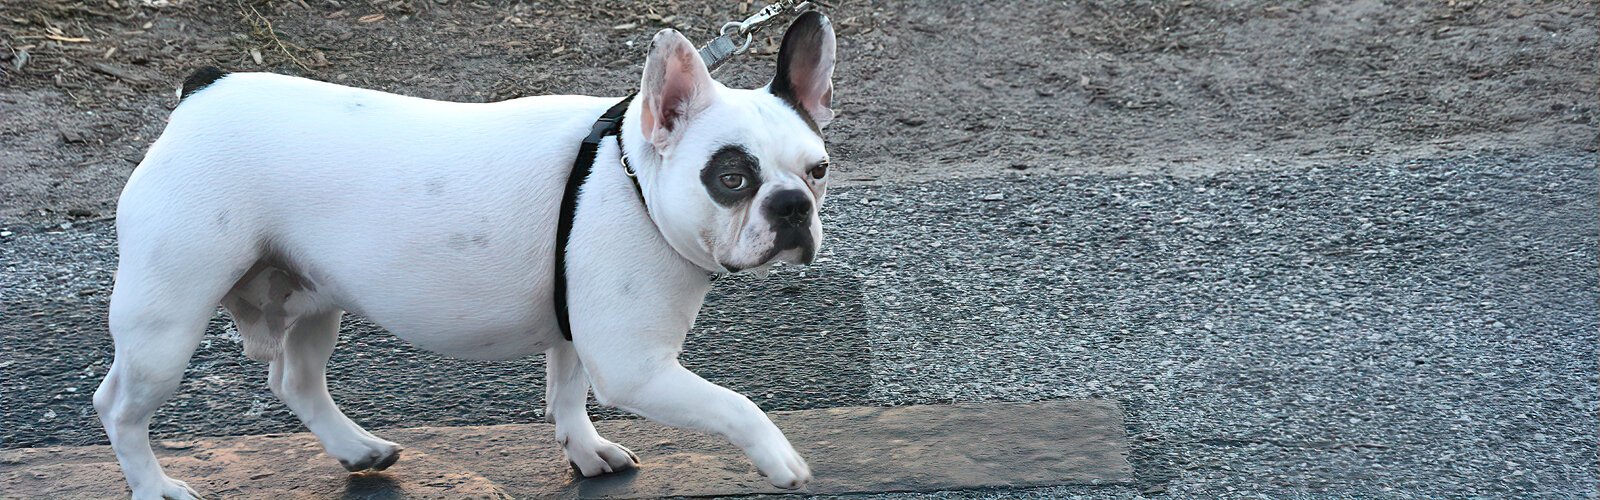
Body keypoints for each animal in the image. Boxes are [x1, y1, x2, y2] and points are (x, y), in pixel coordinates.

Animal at [95, 12, 838, 500]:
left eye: (819, 171)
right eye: (731, 178)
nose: (792, 207)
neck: (632, 174)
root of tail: (203, 90)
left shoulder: (575, 331)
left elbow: (566, 394)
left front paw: (586, 451)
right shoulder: (637, 367)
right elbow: (733, 403)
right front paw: (781, 459)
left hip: (313, 299)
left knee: (297, 380)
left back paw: (357, 448)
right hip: (166, 321)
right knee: (120, 407)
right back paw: (157, 487)